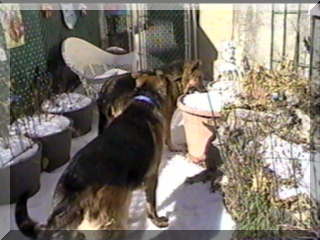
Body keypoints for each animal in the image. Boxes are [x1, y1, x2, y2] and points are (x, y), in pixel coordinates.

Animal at [15, 76, 169, 239]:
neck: (143, 100)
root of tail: (73, 190)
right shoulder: (151, 177)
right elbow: (151, 205)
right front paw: (158, 221)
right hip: (110, 225)